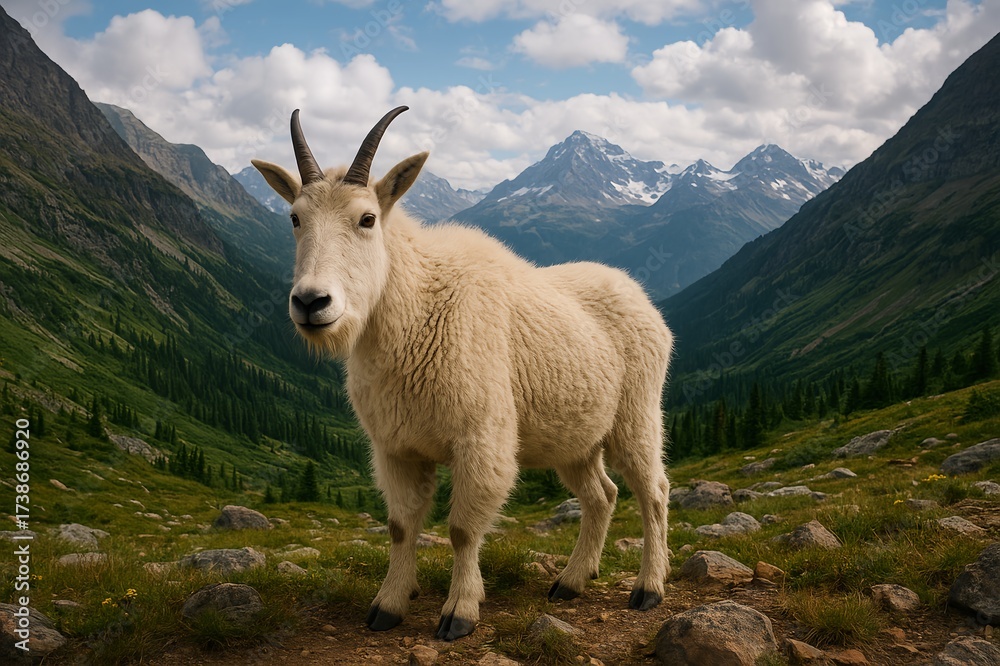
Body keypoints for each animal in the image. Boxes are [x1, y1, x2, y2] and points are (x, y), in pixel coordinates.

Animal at [252, 107, 673, 640]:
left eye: (367, 219)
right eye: (294, 218)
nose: (311, 302)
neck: (413, 310)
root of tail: (644, 301)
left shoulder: (480, 438)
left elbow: (462, 529)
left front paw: (460, 612)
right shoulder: (396, 448)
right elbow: (401, 526)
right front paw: (387, 606)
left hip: (636, 416)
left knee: (652, 492)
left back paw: (649, 588)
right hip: (575, 440)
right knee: (602, 495)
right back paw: (571, 581)